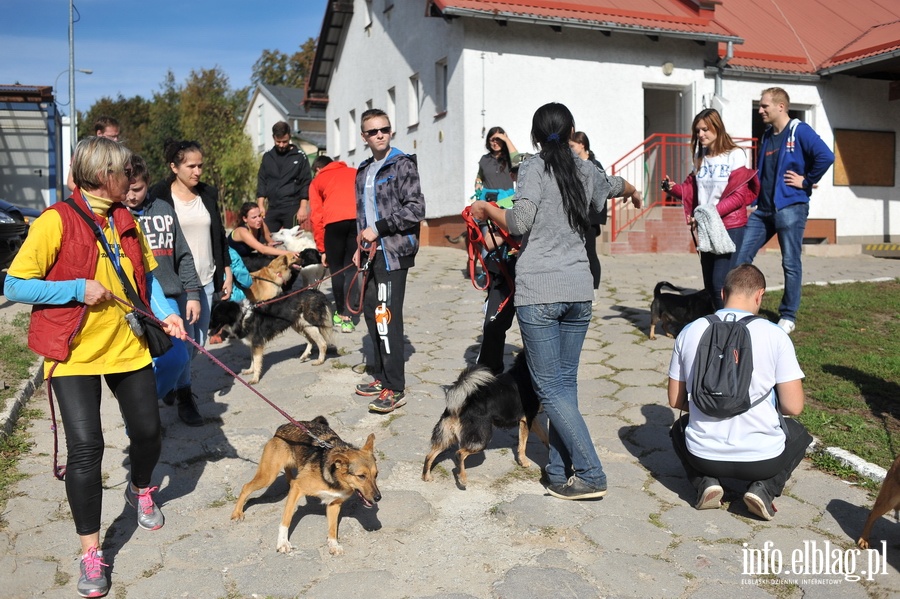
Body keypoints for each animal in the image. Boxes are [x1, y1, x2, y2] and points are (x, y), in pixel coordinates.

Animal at [229, 414, 380, 556]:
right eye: (361, 476)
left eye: (376, 474)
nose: (378, 497)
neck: (335, 480)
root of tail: (282, 427)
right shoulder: (298, 488)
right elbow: (286, 520)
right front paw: (283, 543)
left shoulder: (334, 504)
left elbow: (332, 529)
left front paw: (333, 545)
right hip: (268, 476)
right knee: (246, 487)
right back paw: (237, 513)